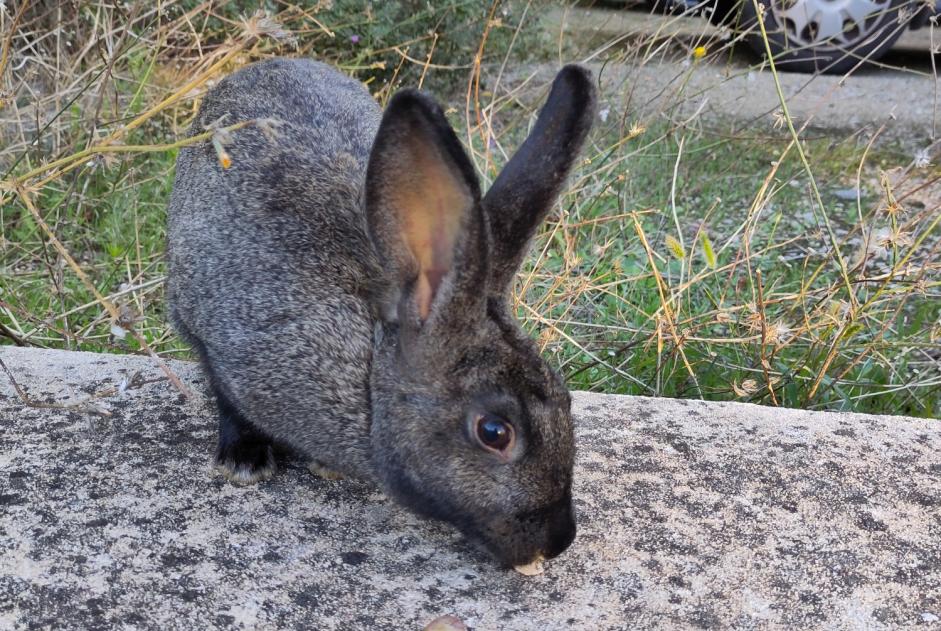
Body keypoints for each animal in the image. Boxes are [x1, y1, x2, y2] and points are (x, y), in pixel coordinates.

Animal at [166, 58, 596, 568]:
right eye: (494, 432)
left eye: (566, 398)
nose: (558, 540)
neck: (370, 376)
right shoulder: (223, 334)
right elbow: (224, 392)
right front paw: (244, 461)